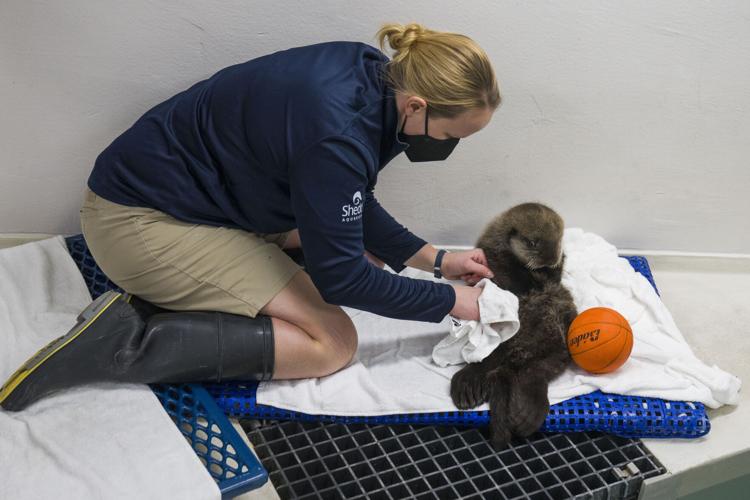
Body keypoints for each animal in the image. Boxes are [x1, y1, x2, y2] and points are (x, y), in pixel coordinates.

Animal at [450, 203, 578, 447]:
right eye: (533, 243)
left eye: (559, 240)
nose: (550, 259)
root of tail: (518, 356)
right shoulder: (493, 256)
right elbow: (508, 277)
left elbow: (552, 280)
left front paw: (549, 269)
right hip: (500, 343)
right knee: (490, 361)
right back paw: (468, 384)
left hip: (559, 346)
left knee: (533, 373)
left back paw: (526, 413)